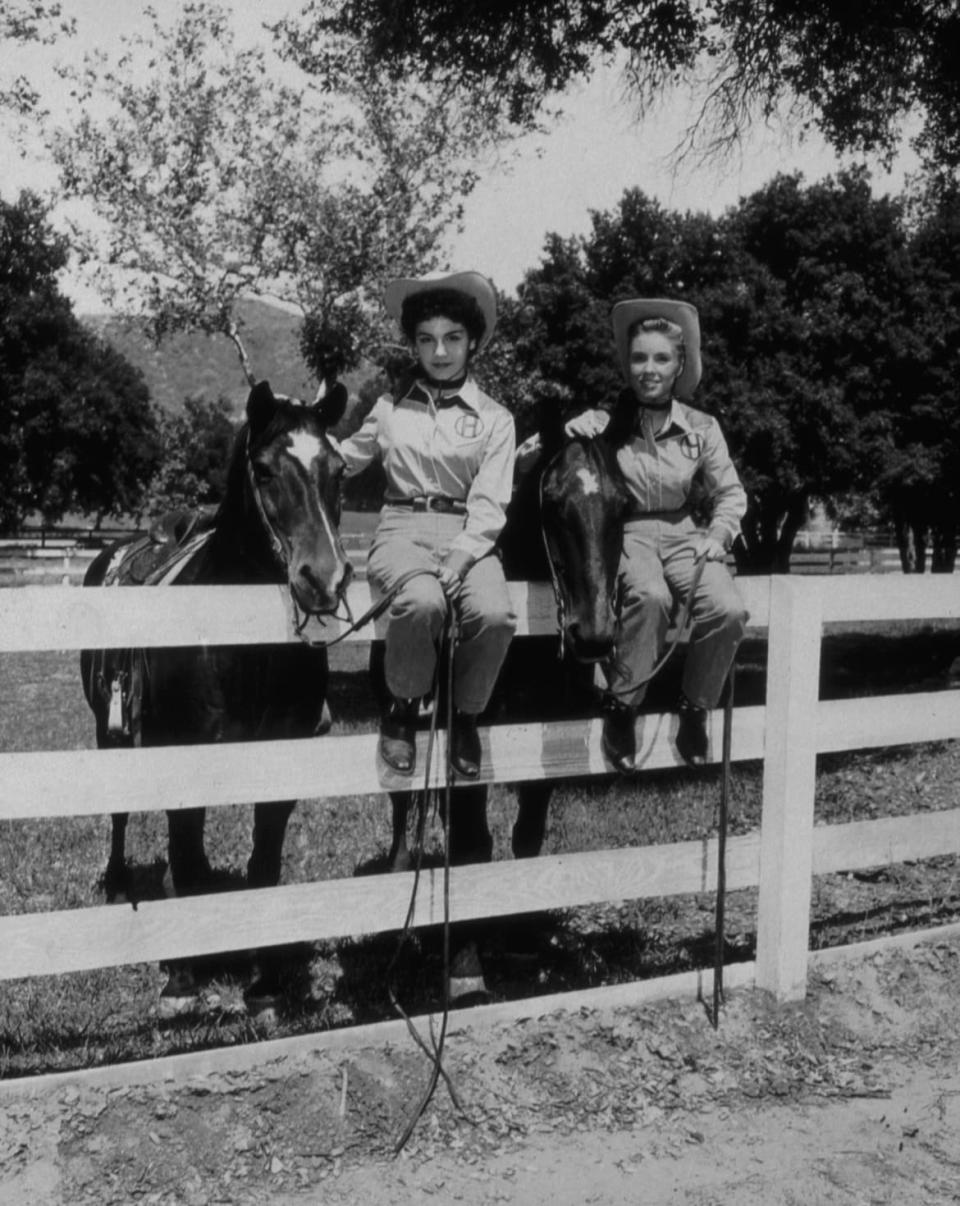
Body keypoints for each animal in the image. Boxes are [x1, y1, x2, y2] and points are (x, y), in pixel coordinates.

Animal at [78, 378, 349, 1008]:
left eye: (340, 469)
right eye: (265, 470)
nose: (324, 580)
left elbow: (263, 864)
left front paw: (266, 983)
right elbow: (181, 853)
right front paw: (180, 980)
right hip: (110, 731)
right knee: (125, 817)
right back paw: (118, 881)